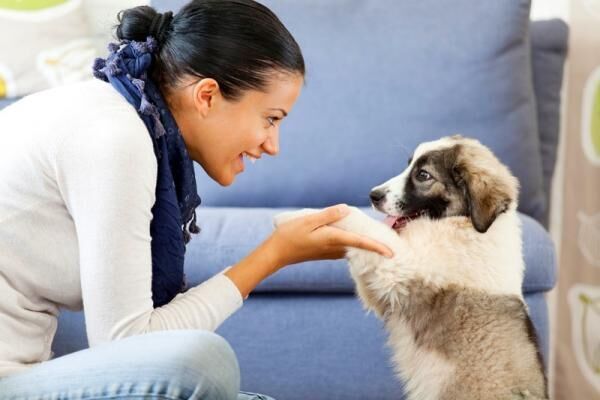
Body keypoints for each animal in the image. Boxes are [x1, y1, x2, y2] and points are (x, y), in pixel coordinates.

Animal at [276, 135, 548, 400]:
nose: (373, 195)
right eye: (408, 166)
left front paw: (297, 217)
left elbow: (362, 222)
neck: (466, 223)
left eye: (423, 175)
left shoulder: (402, 263)